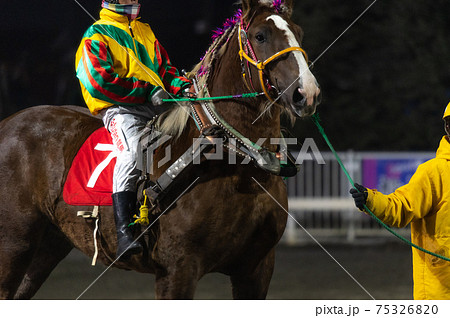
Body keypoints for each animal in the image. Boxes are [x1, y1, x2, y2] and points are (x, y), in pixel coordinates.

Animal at [0, 0, 320, 298]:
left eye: (299, 33)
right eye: (260, 36)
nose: (306, 93)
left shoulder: (256, 269)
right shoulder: (177, 270)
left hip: (46, 246)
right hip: (14, 245)